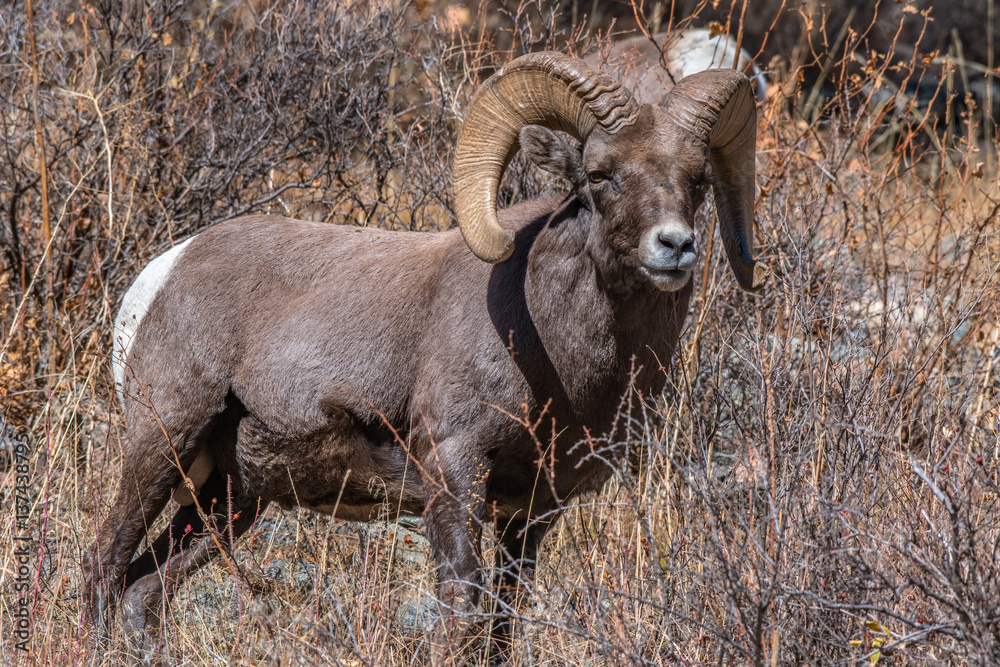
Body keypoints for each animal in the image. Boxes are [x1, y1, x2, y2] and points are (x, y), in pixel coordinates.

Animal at [84, 51, 766, 662]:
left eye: (699, 180)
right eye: (600, 175)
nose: (674, 246)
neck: (563, 364)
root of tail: (160, 275)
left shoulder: (533, 508)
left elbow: (503, 618)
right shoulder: (453, 467)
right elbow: (462, 601)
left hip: (231, 499)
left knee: (142, 589)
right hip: (165, 441)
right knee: (104, 563)